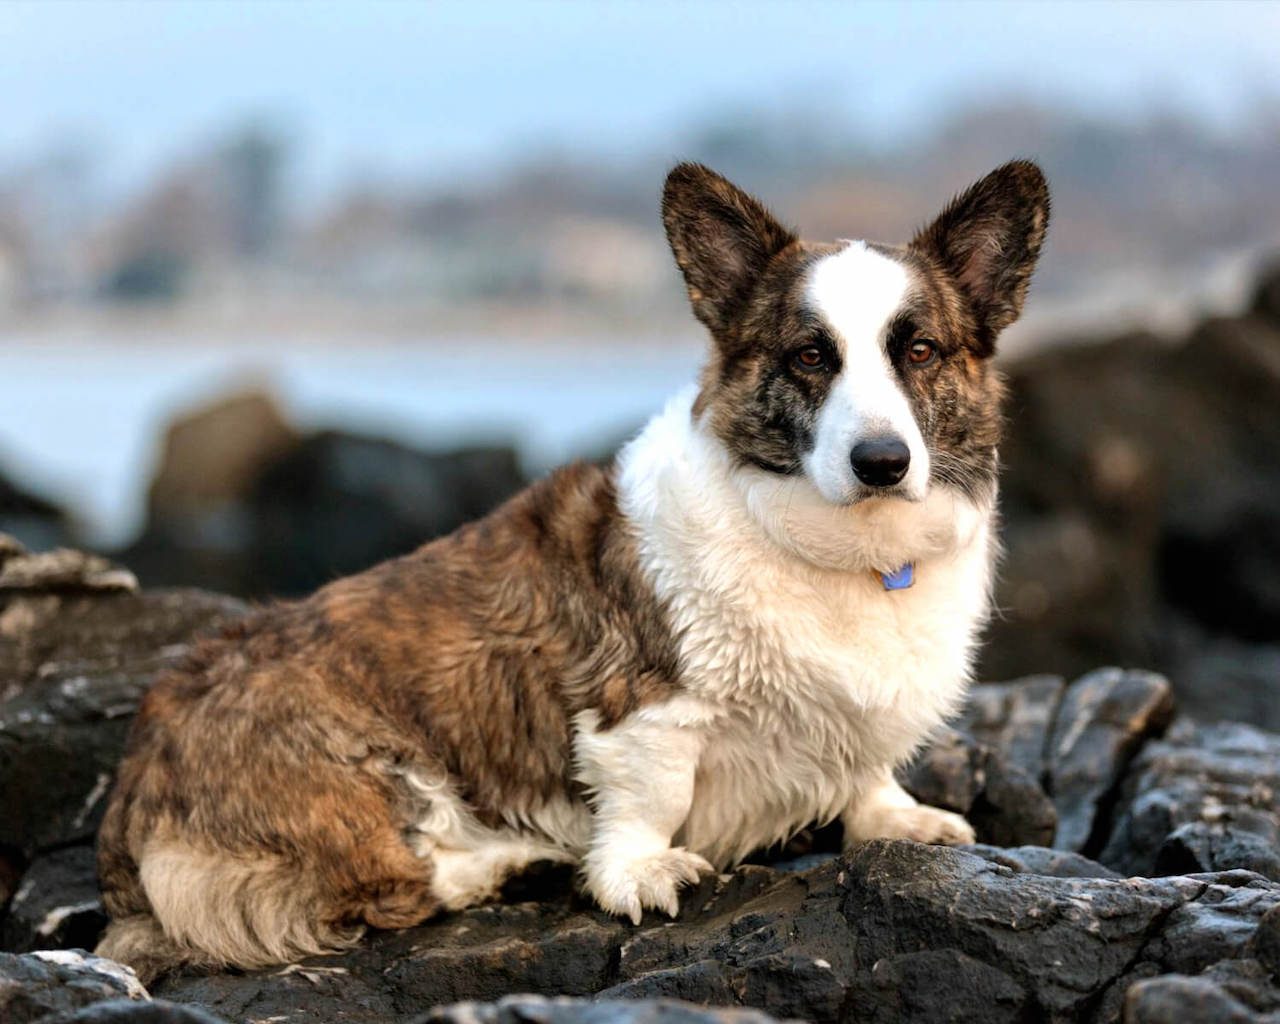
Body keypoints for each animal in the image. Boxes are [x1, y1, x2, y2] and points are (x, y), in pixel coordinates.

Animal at [92, 156, 1049, 977]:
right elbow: (650, 799)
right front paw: (641, 874)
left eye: (919, 351)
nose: (882, 462)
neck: (839, 549)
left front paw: (896, 819)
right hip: (366, 774)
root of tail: (130, 813)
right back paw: (503, 865)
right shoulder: (642, 709)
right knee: (387, 882)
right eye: (810, 356)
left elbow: (867, 772)